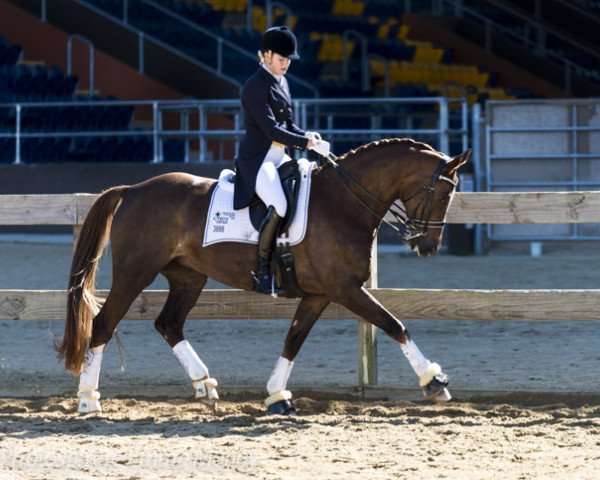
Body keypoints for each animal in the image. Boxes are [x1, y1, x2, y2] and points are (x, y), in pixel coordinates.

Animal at [62, 138, 474, 412]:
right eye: (442, 195)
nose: (427, 246)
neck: (344, 201)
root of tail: (133, 189)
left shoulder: (320, 294)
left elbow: (294, 339)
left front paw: (277, 394)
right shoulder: (345, 288)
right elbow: (393, 324)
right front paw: (434, 381)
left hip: (188, 277)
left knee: (168, 324)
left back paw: (204, 384)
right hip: (134, 274)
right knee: (103, 324)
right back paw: (88, 400)